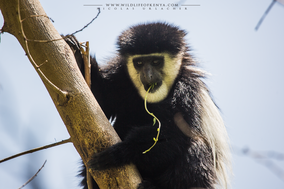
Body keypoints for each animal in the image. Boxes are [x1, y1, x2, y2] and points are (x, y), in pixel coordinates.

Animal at [65, 21, 231, 188]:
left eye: (156, 62)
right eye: (139, 63)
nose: (148, 76)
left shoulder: (186, 91)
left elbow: (174, 133)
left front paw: (120, 152)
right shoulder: (119, 76)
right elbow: (96, 104)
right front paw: (75, 52)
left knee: (198, 149)